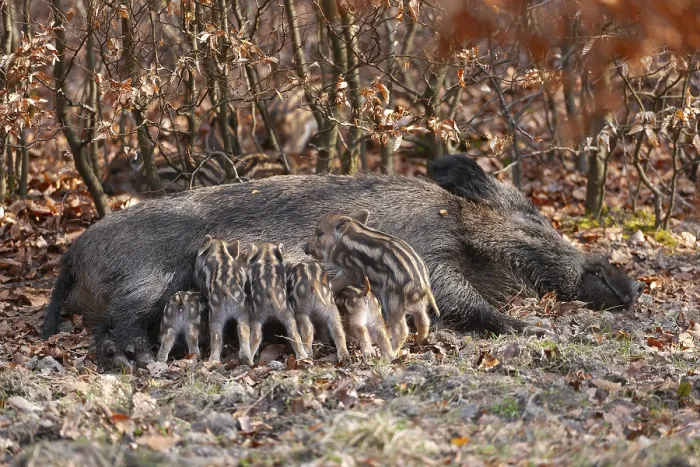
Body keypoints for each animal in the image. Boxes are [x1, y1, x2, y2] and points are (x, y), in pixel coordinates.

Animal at [195, 236, 253, 365]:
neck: (220, 251)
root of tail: (226, 290)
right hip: (241, 312)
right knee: (242, 331)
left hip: (216, 315)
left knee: (216, 337)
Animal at [302, 209, 440, 352]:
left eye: (320, 233)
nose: (303, 247)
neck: (342, 240)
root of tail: (424, 286)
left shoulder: (351, 270)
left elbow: (337, 281)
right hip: (419, 305)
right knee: (424, 322)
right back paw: (417, 344)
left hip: (393, 303)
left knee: (402, 330)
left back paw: (392, 350)